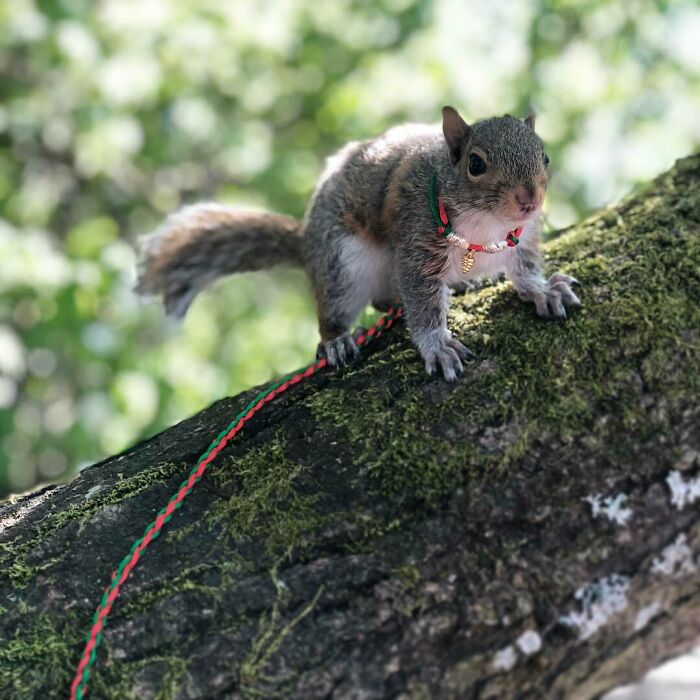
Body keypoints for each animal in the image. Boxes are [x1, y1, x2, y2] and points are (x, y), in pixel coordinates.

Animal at [135, 106, 580, 381]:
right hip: (342, 264)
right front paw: (437, 347)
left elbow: (525, 269)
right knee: (346, 308)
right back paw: (337, 342)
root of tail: (308, 242)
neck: (488, 227)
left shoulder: (523, 239)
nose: (529, 199)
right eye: (476, 164)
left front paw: (543, 291)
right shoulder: (417, 244)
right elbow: (422, 304)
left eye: (544, 157)